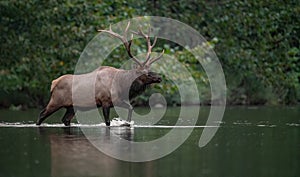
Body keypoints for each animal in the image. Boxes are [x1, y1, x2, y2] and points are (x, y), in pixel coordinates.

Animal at [37, 22, 166, 126]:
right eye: (146, 73)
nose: (159, 77)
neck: (122, 86)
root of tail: (53, 83)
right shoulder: (105, 101)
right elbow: (108, 121)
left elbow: (130, 107)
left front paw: (126, 123)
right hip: (55, 101)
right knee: (41, 115)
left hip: (72, 107)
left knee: (65, 120)